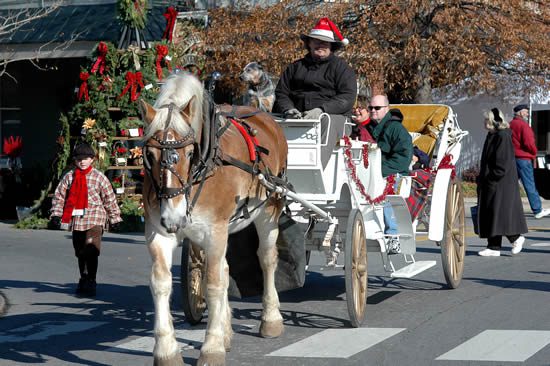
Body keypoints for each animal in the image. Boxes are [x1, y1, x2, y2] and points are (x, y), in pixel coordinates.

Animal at [139, 72, 288, 366]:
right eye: (150, 155)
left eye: (189, 153)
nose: (173, 217)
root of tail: (265, 116)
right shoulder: (158, 233)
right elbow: (161, 283)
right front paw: (166, 349)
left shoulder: (214, 231)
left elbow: (213, 285)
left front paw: (212, 347)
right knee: (225, 269)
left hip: (268, 209)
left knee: (267, 259)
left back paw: (271, 319)